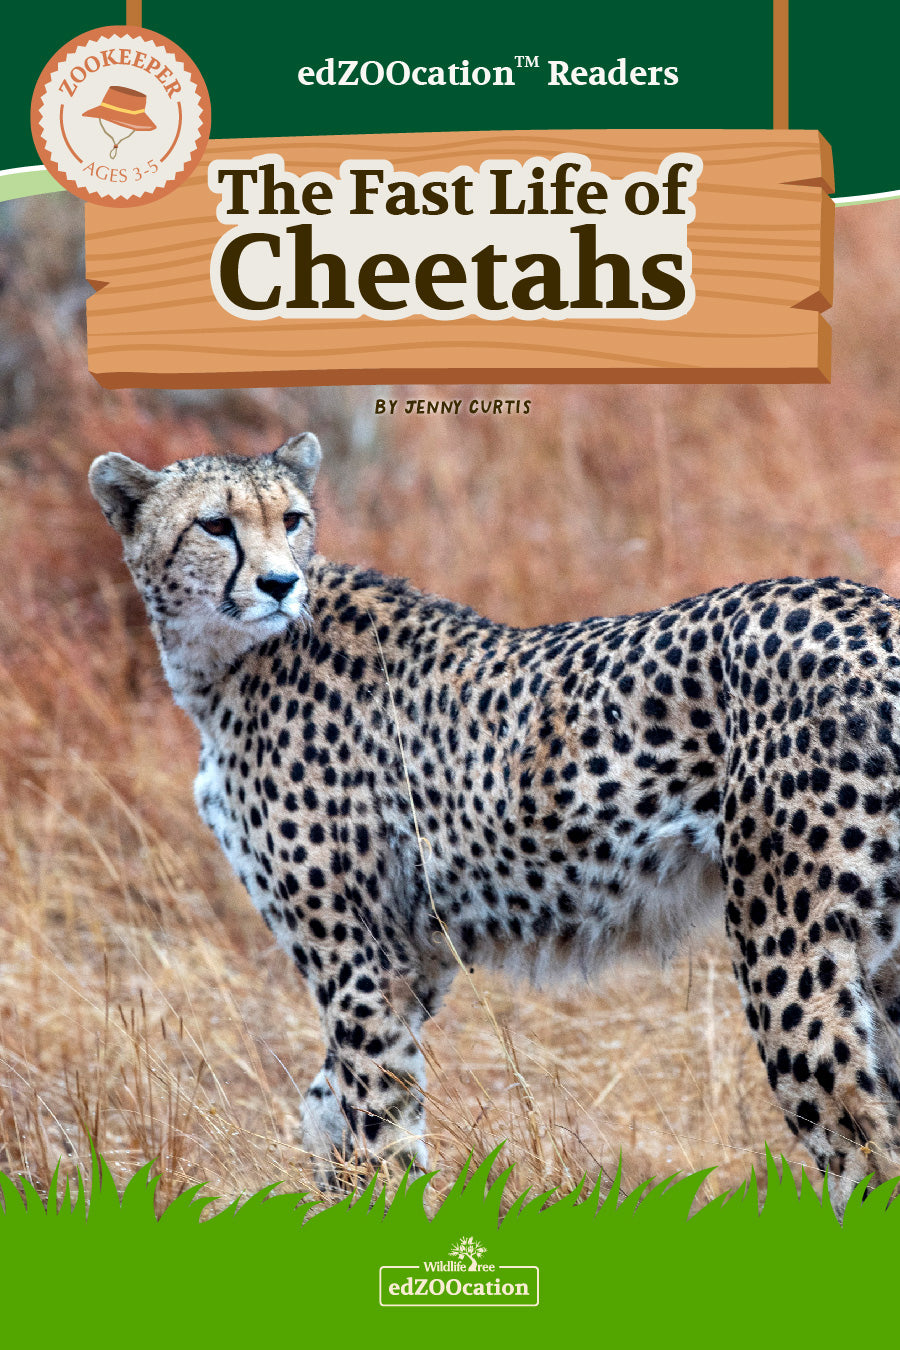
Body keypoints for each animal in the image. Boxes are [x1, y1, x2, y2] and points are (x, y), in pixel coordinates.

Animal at [89, 432, 900, 1213]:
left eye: (291, 519)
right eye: (215, 525)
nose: (280, 585)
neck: (221, 663)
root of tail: (869, 605)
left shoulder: (361, 957)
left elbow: (379, 1118)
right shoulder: (416, 957)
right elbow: (328, 1108)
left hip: (787, 942)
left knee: (863, 1144)